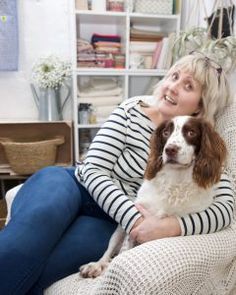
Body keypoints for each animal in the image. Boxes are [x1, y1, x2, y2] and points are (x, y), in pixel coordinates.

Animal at [80, 116, 227, 280]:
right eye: (165, 132)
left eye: (191, 132)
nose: (170, 149)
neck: (176, 179)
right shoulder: (135, 223)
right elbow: (124, 249)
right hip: (119, 230)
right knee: (109, 252)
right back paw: (97, 265)